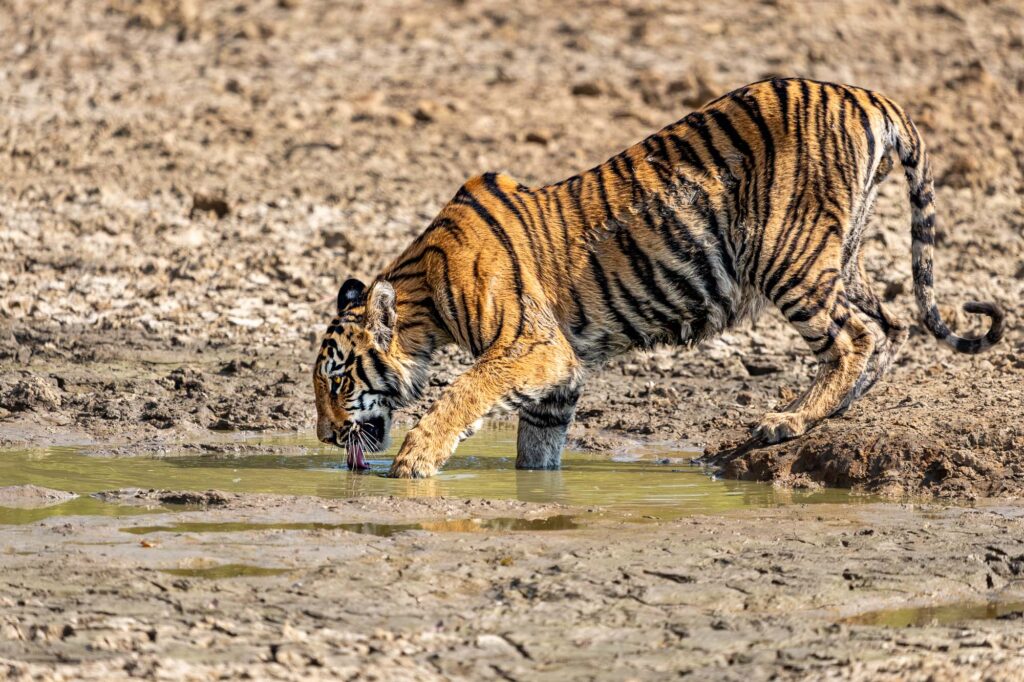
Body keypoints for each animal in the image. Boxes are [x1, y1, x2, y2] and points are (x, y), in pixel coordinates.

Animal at [313, 77, 1004, 478]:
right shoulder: (558, 373)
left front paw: (415, 461)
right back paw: (819, 413)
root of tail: (870, 96)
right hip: (841, 255)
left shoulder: (529, 343)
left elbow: (464, 392)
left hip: (790, 256)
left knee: (857, 337)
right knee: (890, 327)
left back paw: (785, 422)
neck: (422, 297)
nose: (323, 436)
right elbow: (538, 444)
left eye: (339, 382)